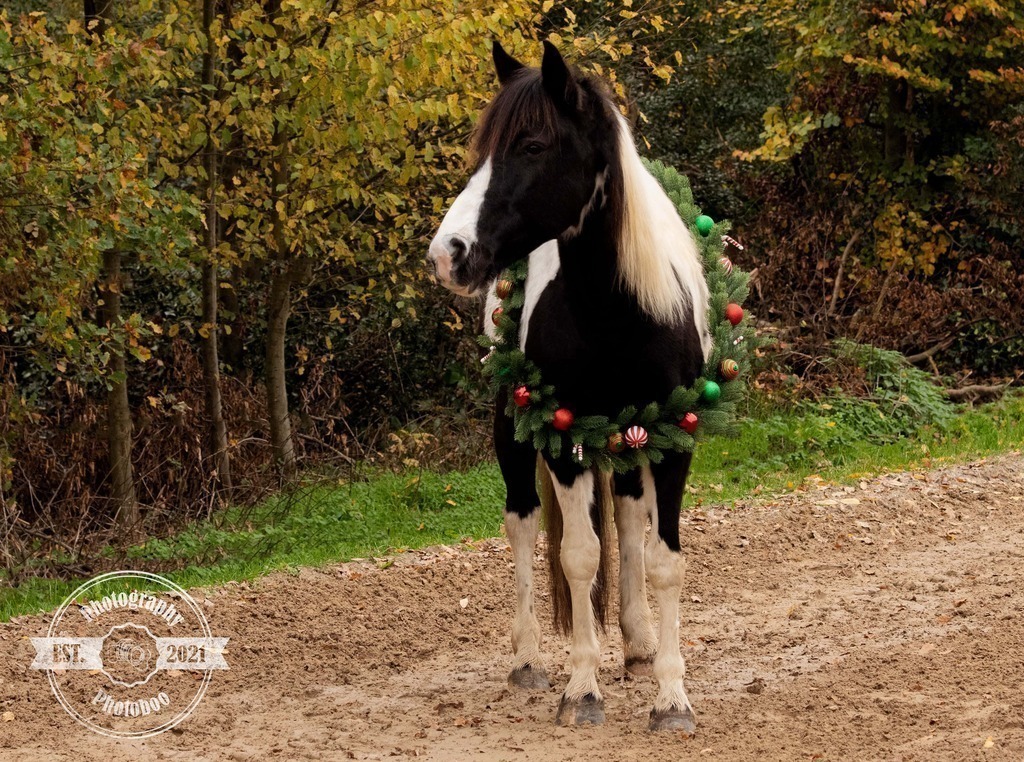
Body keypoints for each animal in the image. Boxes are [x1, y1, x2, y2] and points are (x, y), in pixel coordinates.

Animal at [427, 40, 711, 733]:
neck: (617, 309)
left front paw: (671, 696)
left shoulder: (676, 435)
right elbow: (578, 555)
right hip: (514, 426)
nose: (449, 253)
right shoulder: (561, 435)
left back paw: (637, 644)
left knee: (630, 519)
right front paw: (582, 689)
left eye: (531, 145)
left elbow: (664, 558)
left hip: (632, 435)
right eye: (484, 148)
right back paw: (529, 659)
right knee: (523, 523)